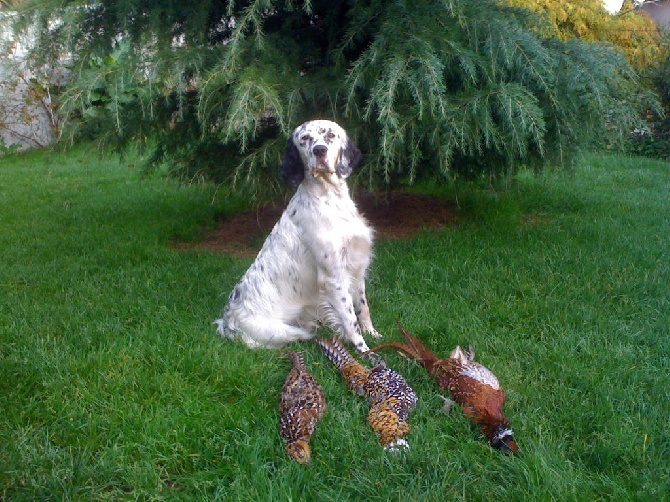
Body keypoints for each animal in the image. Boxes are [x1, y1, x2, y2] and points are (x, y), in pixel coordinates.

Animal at [217, 119, 384, 352]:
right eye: (304, 138)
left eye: (330, 135)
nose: (319, 150)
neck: (330, 199)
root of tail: (227, 322)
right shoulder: (333, 277)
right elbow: (350, 320)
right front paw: (365, 351)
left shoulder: (356, 266)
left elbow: (362, 308)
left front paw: (373, 334)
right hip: (284, 331)